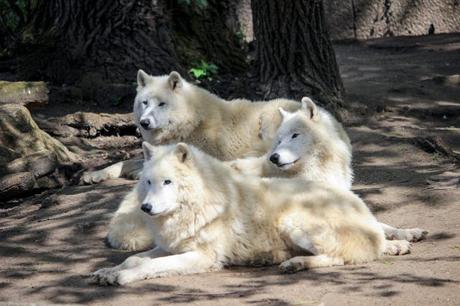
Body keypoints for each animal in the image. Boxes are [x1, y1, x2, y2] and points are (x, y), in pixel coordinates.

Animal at [81, 70, 300, 184]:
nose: (144, 122)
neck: (188, 122)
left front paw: (138, 173)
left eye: (162, 104)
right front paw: (94, 175)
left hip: (269, 120)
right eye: (145, 102)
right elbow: (123, 162)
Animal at [90, 142, 414, 286]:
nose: (146, 208)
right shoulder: (169, 246)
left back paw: (295, 264)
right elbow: (134, 258)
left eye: (167, 182)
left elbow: (149, 266)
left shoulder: (202, 256)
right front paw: (107, 271)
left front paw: (123, 277)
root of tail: (355, 201)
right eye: (148, 182)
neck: (198, 205)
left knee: (341, 256)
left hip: (293, 220)